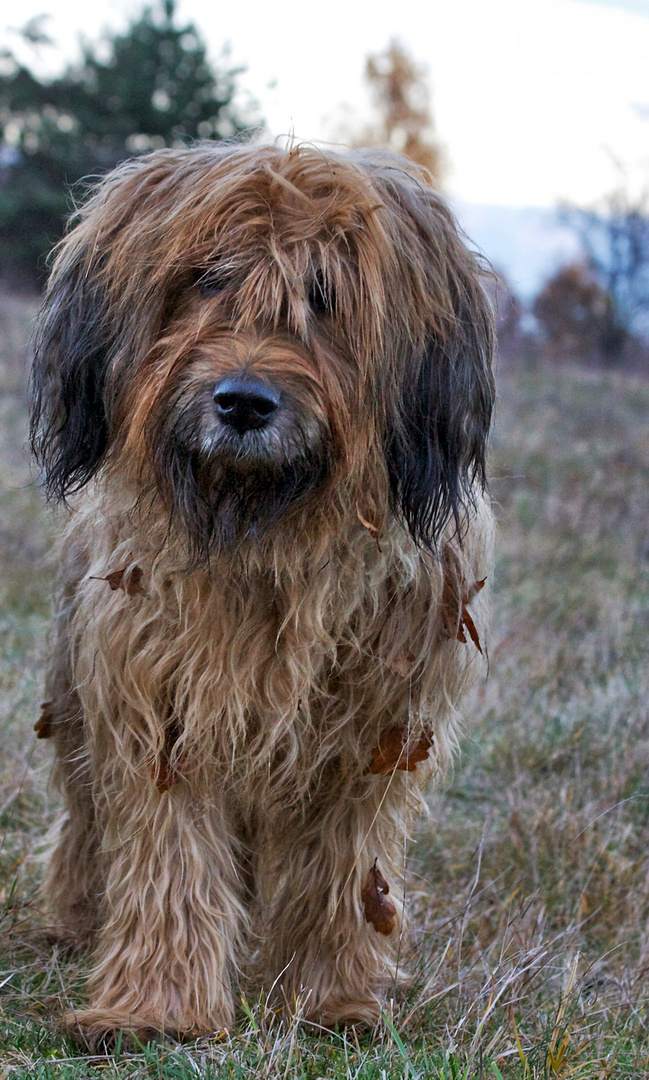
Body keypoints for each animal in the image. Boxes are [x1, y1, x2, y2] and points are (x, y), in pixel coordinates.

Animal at [30, 141, 494, 1045]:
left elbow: (341, 870)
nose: (242, 402)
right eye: (206, 279)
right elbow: (167, 855)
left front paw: (329, 1000)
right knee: (88, 822)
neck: (267, 525)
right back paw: (73, 920)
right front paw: (155, 1010)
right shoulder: (159, 703)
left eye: (323, 297)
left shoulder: (372, 731)